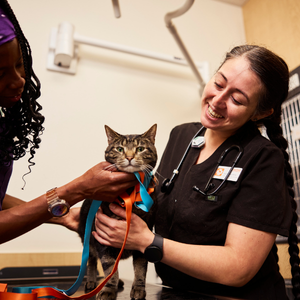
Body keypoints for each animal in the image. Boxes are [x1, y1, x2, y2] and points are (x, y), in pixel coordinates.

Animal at [78, 124, 158, 300]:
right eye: (120, 149)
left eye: (140, 148)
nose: (129, 157)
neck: (129, 191)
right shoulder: (102, 239)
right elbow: (109, 267)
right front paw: (108, 290)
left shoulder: (144, 236)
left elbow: (141, 268)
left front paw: (139, 289)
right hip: (88, 239)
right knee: (92, 261)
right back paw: (92, 282)